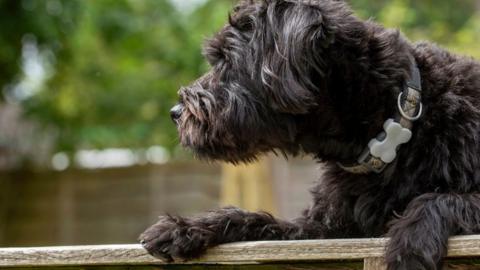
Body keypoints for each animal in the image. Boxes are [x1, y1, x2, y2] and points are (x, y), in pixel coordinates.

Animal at [139, 1, 480, 268]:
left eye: (227, 60)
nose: (175, 113)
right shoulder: (322, 230)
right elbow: (255, 219)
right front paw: (184, 228)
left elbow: (439, 198)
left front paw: (411, 242)